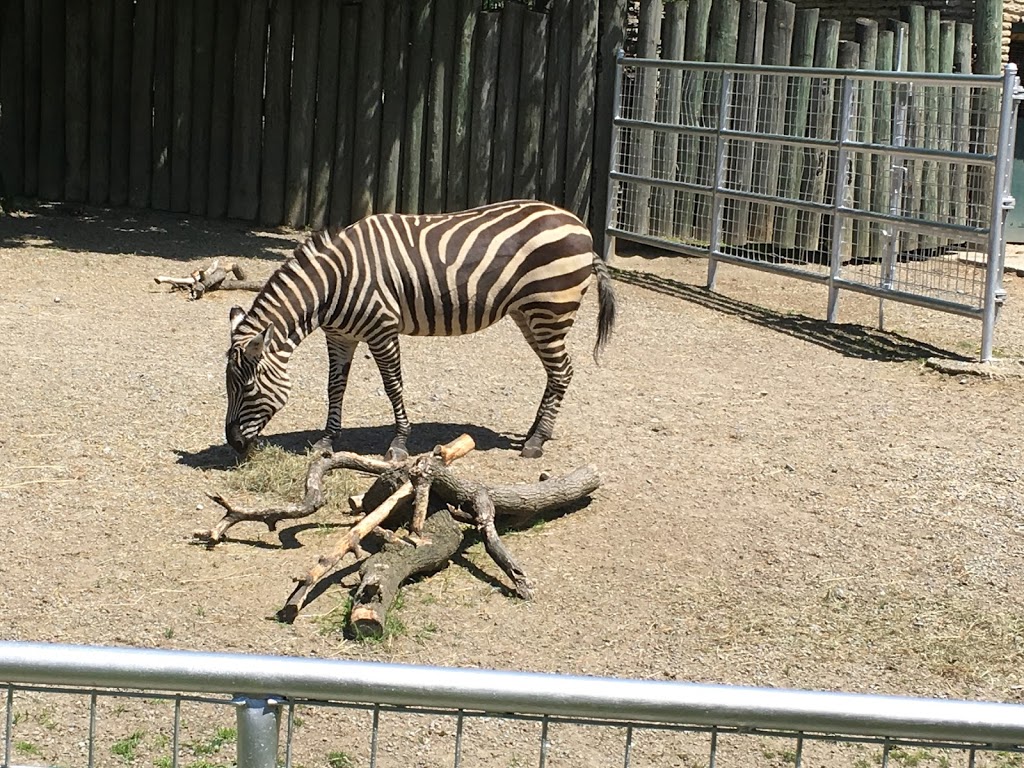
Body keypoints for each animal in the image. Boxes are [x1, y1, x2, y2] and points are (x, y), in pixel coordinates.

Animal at [224, 199, 614, 462]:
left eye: (248, 388)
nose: (233, 444)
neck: (333, 283)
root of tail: (579, 225)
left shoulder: (382, 329)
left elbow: (393, 386)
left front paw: (398, 444)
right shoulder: (339, 336)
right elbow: (335, 387)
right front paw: (327, 441)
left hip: (549, 310)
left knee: (563, 372)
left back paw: (536, 442)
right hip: (528, 314)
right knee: (555, 373)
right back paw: (535, 432)